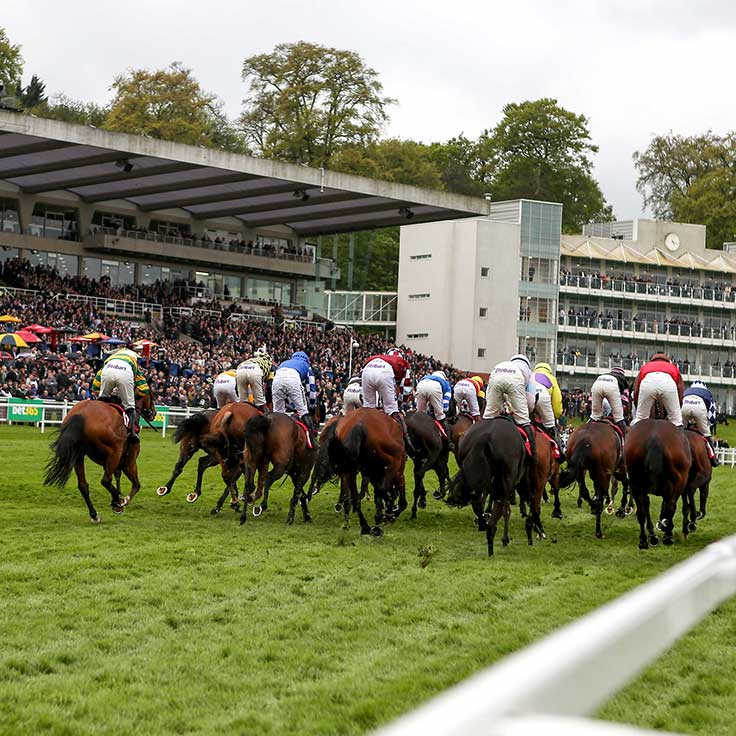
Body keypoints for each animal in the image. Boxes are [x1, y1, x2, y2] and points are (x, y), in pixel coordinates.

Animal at [330, 408, 408, 536]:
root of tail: (359, 424)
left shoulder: (371, 473)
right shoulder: (397, 472)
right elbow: (394, 495)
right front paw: (389, 514)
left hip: (349, 470)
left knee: (355, 497)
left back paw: (365, 526)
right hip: (392, 465)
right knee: (382, 490)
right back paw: (378, 526)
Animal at [624, 416, 692, 548]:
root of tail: (655, 438)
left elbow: (647, 505)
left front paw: (653, 534)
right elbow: (668, 506)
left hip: (635, 482)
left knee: (641, 510)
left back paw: (644, 540)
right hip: (679, 481)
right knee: (671, 506)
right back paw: (668, 537)